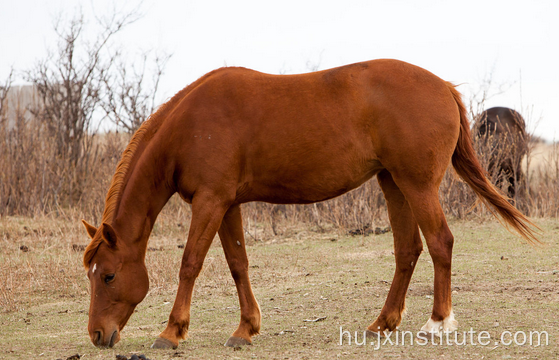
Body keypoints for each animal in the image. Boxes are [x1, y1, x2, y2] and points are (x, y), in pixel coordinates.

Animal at [80, 59, 540, 348]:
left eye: (107, 276)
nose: (98, 336)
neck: (191, 125)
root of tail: (442, 86)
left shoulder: (210, 202)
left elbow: (190, 263)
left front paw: (172, 332)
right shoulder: (227, 204)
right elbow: (237, 264)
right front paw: (246, 329)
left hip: (418, 185)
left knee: (441, 242)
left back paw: (437, 323)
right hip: (393, 183)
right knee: (407, 250)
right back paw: (382, 324)